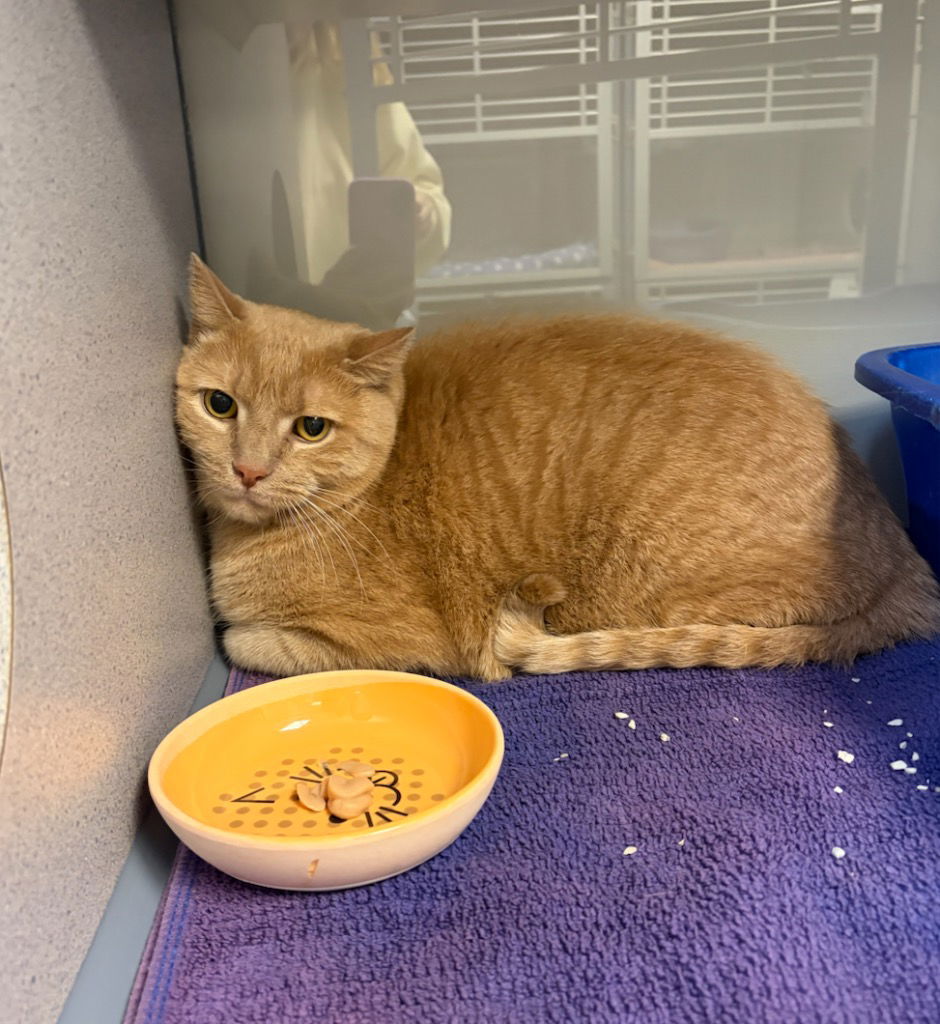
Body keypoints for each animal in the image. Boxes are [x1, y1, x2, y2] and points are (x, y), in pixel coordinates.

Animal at [176, 254, 940, 681]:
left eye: (310, 428)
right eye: (220, 405)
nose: (248, 470)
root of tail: (903, 561)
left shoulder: (395, 640)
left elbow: (248, 642)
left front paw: (242, 632)